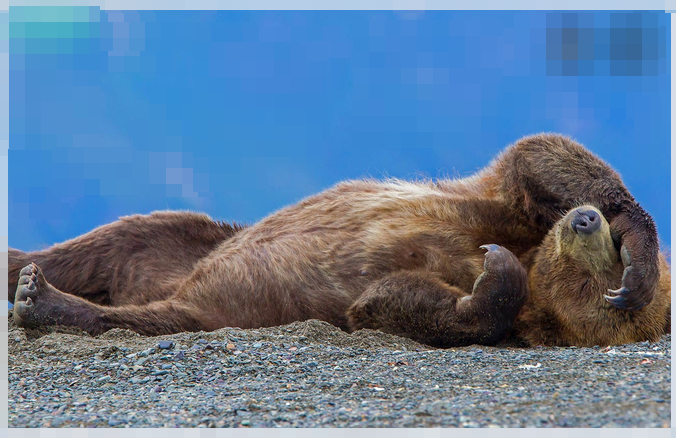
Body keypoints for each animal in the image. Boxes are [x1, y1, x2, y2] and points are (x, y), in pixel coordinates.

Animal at [6, 133, 672, 346]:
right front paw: (638, 252)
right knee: (120, 235)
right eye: (603, 264)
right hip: (193, 241)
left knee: (157, 317)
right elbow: (538, 156)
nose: (586, 224)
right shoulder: (498, 206)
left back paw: (46, 300)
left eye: (590, 279)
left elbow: (388, 302)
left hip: (216, 304)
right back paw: (27, 266)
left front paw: (494, 279)